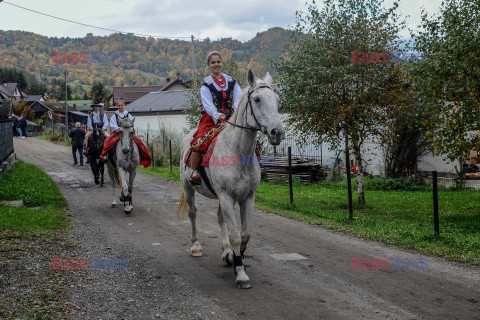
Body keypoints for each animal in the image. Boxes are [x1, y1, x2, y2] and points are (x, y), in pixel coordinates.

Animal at [179, 69, 284, 288]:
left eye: (277, 99)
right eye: (257, 99)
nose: (277, 132)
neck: (237, 152)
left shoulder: (247, 198)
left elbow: (245, 234)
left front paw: (235, 261)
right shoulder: (227, 197)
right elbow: (235, 235)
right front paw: (241, 274)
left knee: (220, 219)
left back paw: (226, 252)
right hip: (188, 187)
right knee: (193, 214)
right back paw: (196, 246)